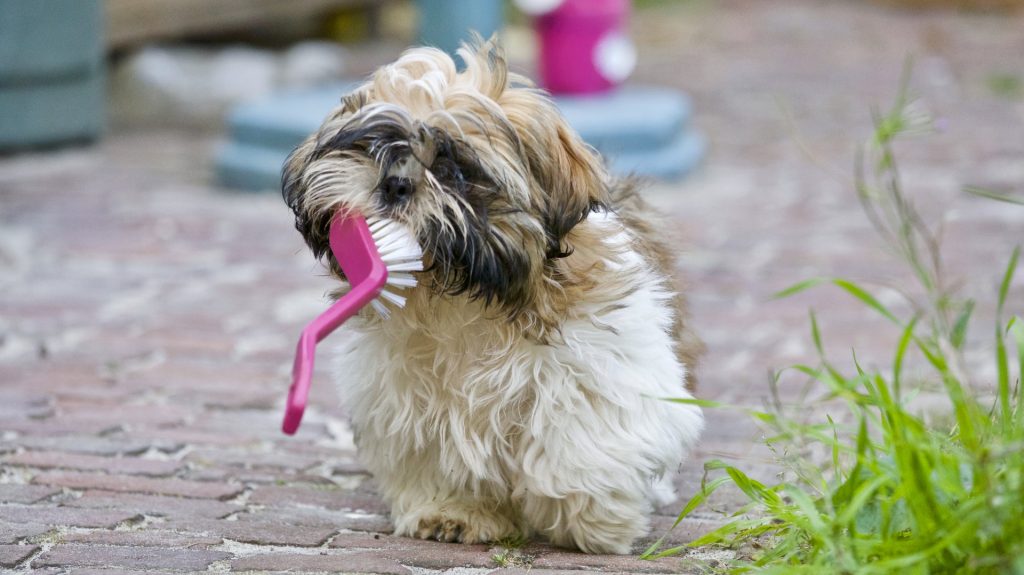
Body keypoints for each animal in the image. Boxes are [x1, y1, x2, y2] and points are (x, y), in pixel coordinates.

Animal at [280, 38, 704, 552]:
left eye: (453, 169)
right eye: (374, 147)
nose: (395, 183)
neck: (456, 294)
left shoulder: (600, 362)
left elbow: (580, 437)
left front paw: (590, 517)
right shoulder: (403, 393)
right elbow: (436, 450)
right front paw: (452, 510)